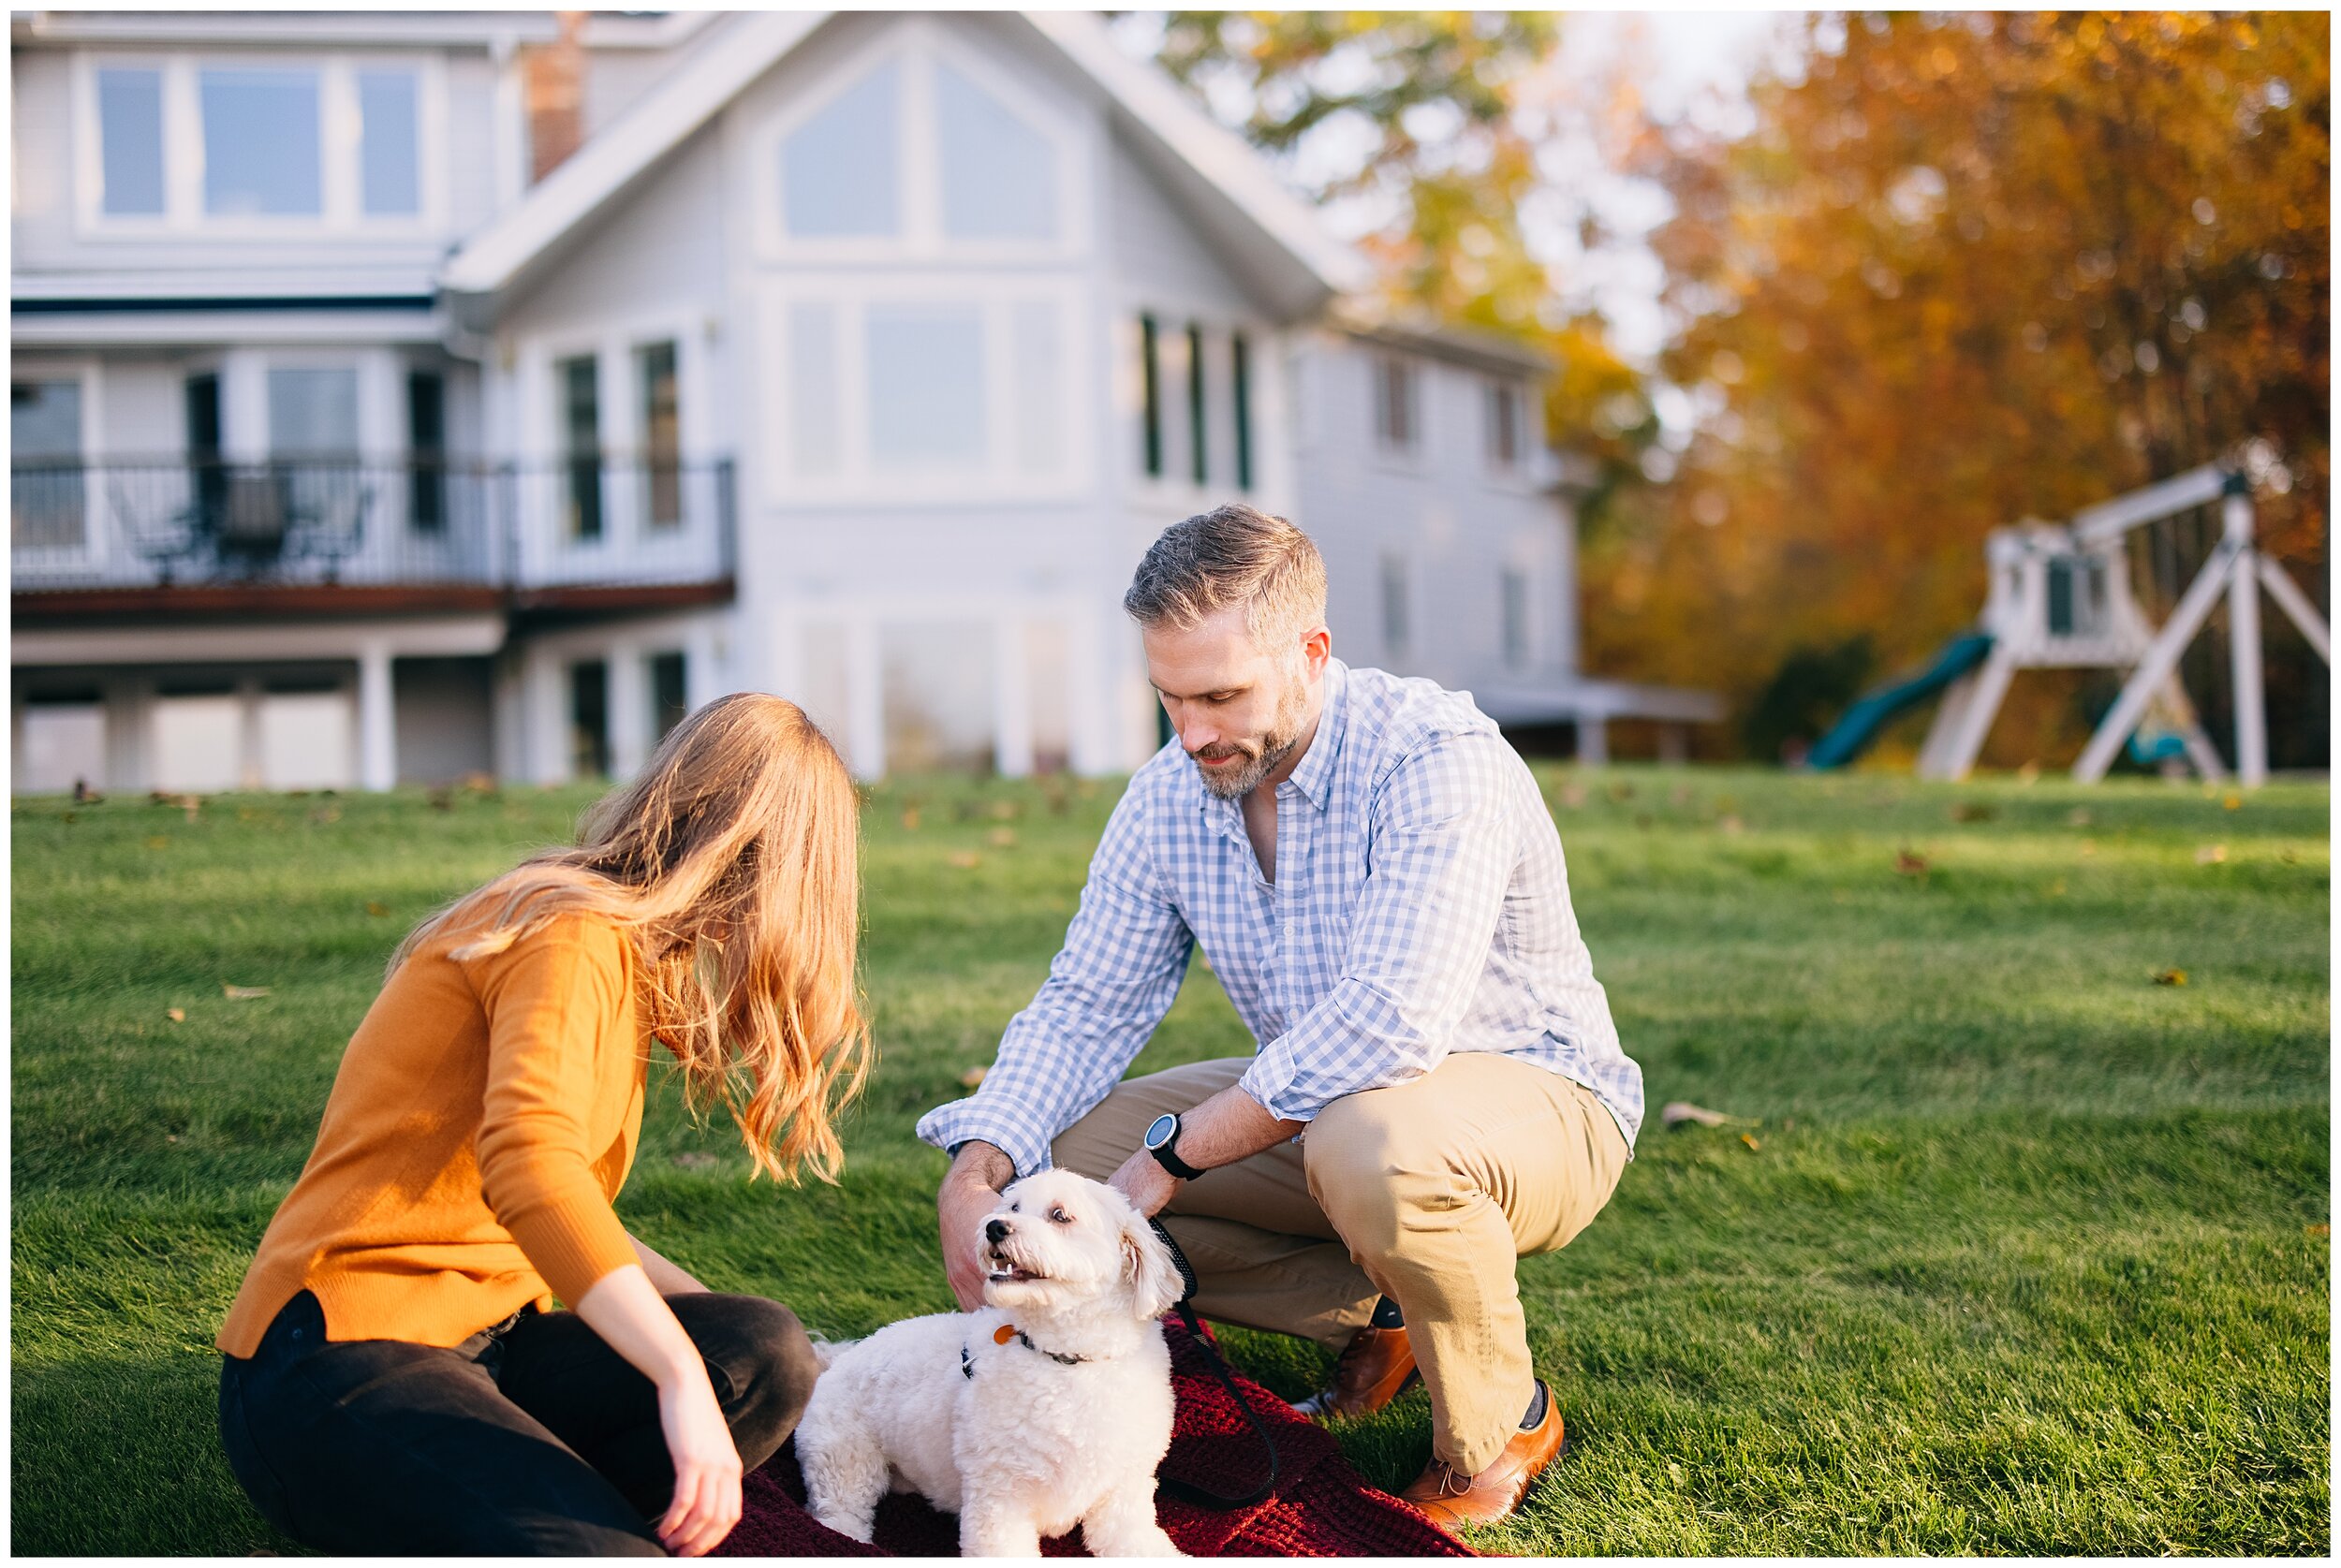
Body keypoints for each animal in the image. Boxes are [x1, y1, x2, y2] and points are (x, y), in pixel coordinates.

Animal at [796, 1165, 1189, 1563]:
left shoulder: (1123, 1487)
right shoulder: (999, 1495)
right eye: (1013, 1207)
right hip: (844, 1457)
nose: (995, 1227)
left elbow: (1130, 1536)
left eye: (1060, 1215)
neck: (1066, 1360)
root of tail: (836, 1361)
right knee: (838, 1512)